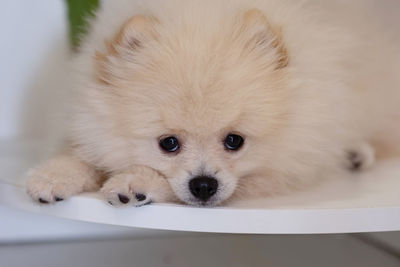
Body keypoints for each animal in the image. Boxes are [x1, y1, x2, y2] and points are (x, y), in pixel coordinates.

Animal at [25, 0, 400, 207]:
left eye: (235, 141)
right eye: (168, 143)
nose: (204, 185)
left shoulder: (287, 163)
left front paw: (138, 182)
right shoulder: (88, 117)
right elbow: (78, 152)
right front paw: (54, 175)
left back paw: (356, 153)